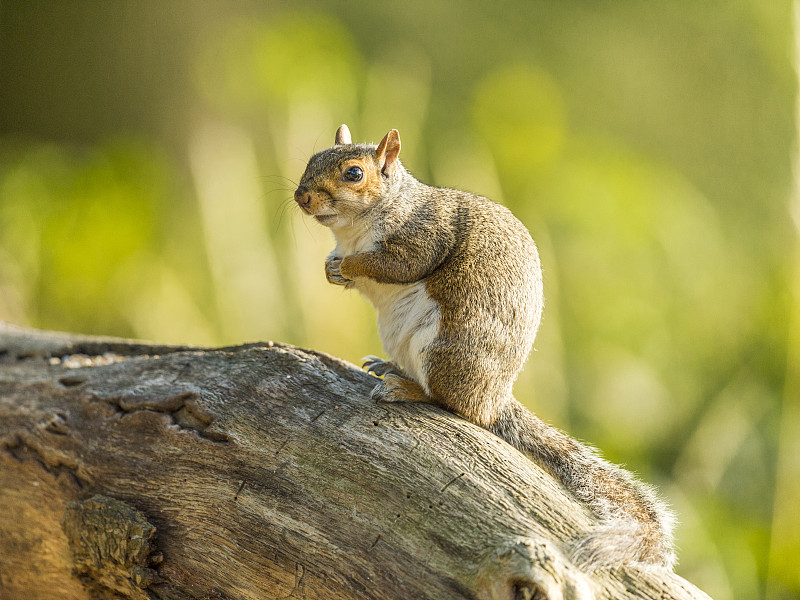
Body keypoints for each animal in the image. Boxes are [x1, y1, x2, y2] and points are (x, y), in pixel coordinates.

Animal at [294, 124, 676, 568]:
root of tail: (495, 398)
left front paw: (350, 265)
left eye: (354, 173)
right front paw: (330, 267)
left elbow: (397, 265)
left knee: (456, 406)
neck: (356, 229)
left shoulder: (423, 234)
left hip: (444, 350)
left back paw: (407, 389)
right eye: (312, 158)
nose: (302, 196)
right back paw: (390, 368)